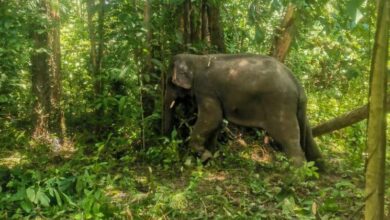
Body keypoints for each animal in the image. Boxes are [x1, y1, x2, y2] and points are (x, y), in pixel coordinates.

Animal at [163, 53, 324, 170]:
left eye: (169, 82)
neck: (195, 59)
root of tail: (296, 83)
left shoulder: (206, 90)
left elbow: (212, 118)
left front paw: (205, 155)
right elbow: (216, 122)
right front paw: (210, 157)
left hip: (280, 105)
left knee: (288, 139)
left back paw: (296, 177)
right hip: (298, 108)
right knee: (307, 136)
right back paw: (320, 169)